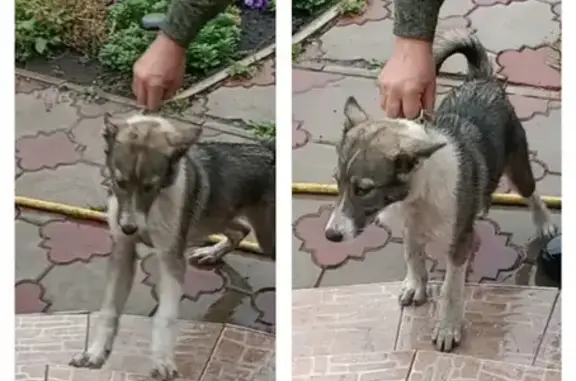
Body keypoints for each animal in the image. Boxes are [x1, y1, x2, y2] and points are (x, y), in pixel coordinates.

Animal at [68, 113, 276, 378]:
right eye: (120, 182)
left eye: (150, 186)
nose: (129, 228)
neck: (155, 205)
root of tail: (269, 148)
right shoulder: (123, 250)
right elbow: (109, 310)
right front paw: (95, 351)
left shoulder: (171, 257)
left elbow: (165, 315)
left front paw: (162, 360)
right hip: (214, 218)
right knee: (240, 229)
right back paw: (212, 253)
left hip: (263, 236)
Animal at [324, 29, 560, 350]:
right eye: (337, 182)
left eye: (363, 189)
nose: (330, 236)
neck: (418, 193)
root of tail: (480, 79)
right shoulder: (410, 228)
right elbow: (413, 255)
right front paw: (416, 285)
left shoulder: (459, 244)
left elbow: (451, 288)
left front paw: (448, 328)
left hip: (517, 165)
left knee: (532, 192)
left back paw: (544, 222)